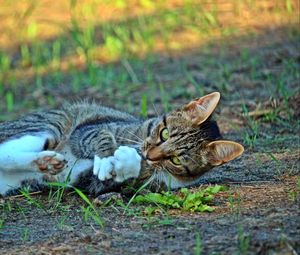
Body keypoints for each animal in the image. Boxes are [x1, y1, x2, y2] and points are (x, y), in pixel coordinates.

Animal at [0, 91, 244, 195]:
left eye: (175, 160)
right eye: (164, 133)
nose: (150, 155)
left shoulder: (91, 182)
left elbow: (113, 178)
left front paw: (127, 162)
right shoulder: (88, 130)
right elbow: (101, 137)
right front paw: (111, 157)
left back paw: (47, 163)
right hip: (47, 127)